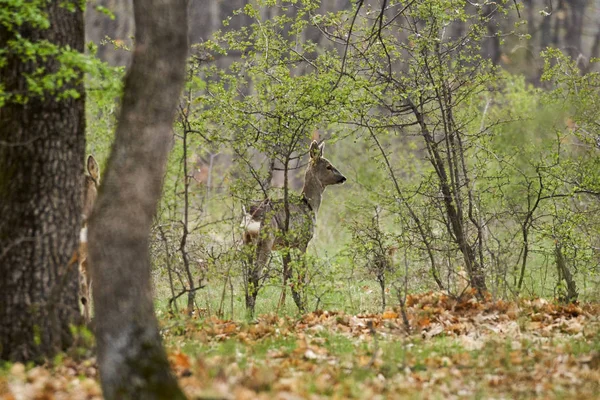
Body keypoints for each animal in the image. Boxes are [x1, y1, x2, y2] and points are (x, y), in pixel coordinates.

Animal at [240, 141, 344, 312]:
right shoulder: (303, 240)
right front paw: (304, 305)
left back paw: (248, 308)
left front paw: (280, 307)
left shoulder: (284, 246)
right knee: (255, 273)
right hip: (266, 239)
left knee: (247, 273)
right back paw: (251, 310)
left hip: (247, 240)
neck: (309, 206)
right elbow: (301, 274)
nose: (343, 178)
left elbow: (286, 274)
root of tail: (250, 213)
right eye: (328, 166)